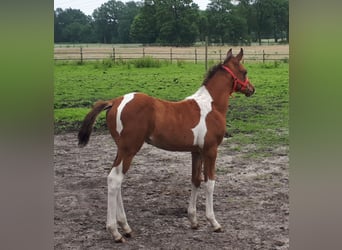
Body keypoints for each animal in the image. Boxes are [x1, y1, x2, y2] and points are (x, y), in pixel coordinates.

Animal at [77, 48, 254, 242]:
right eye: (244, 71)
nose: (251, 89)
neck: (211, 106)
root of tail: (115, 101)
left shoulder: (196, 151)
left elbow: (196, 180)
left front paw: (193, 220)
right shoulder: (211, 150)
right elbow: (210, 182)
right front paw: (214, 223)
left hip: (121, 149)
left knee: (115, 179)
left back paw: (125, 228)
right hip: (129, 149)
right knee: (114, 179)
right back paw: (116, 232)